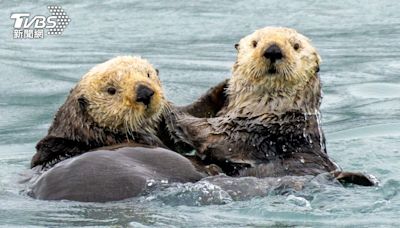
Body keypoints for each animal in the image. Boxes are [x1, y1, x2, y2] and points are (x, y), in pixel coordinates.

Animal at [166, 26, 378, 186]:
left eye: (296, 46)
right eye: (255, 43)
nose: (273, 50)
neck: (267, 108)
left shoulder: (253, 130)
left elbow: (211, 134)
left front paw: (170, 110)